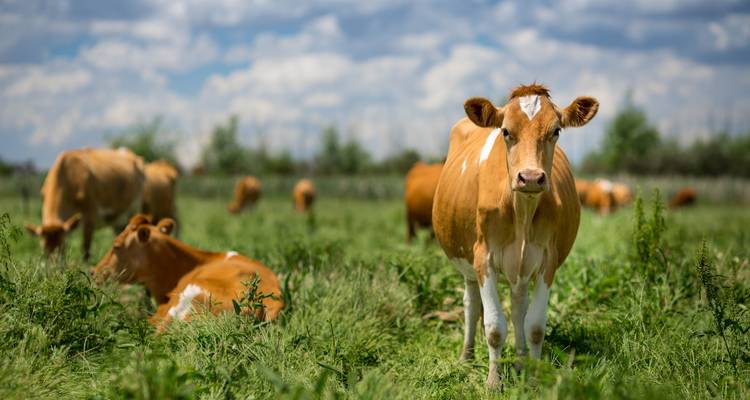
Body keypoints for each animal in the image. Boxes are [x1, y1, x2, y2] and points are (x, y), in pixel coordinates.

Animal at [432, 84, 598, 388]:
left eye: (556, 130)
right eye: (506, 131)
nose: (531, 177)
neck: (522, 210)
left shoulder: (547, 261)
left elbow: (534, 325)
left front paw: (533, 377)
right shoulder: (483, 258)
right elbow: (494, 326)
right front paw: (493, 381)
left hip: (520, 267)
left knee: (519, 307)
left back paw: (521, 361)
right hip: (467, 265)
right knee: (471, 305)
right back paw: (466, 357)